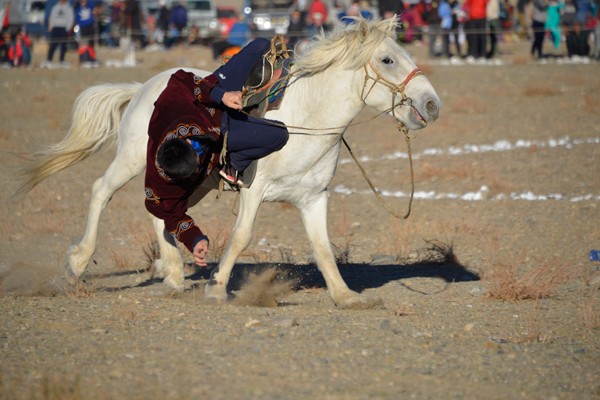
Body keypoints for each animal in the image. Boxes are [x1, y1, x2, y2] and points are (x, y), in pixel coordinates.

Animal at [18, 17, 440, 308]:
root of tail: (142, 88)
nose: (432, 104)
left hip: (195, 179)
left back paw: (172, 272)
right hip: (134, 158)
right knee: (101, 191)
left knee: (163, 213)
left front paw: (345, 295)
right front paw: (218, 287)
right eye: (387, 59)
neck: (305, 120)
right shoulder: (254, 191)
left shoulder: (314, 197)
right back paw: (77, 263)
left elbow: (323, 249)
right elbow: (242, 237)